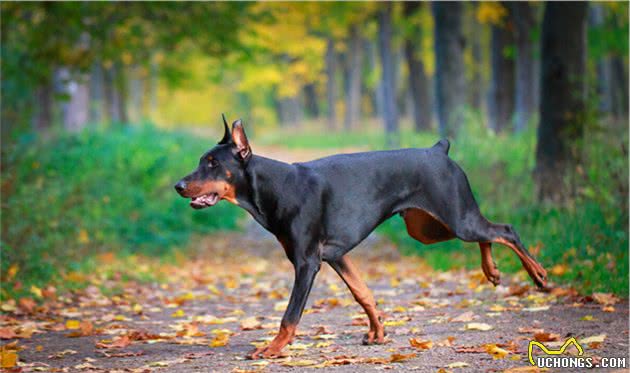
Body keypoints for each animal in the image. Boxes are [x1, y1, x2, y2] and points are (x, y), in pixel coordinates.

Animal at [174, 115, 548, 358]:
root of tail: (438, 149)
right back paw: (492, 270)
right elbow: (363, 293)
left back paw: (539, 275)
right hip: (428, 228)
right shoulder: (336, 255)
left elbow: (290, 315)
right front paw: (378, 332)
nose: (178, 185)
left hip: (455, 217)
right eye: (201, 160)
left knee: (504, 230)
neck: (274, 187)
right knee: (487, 234)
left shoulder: (307, 262)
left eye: (212, 163)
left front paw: (273, 348)